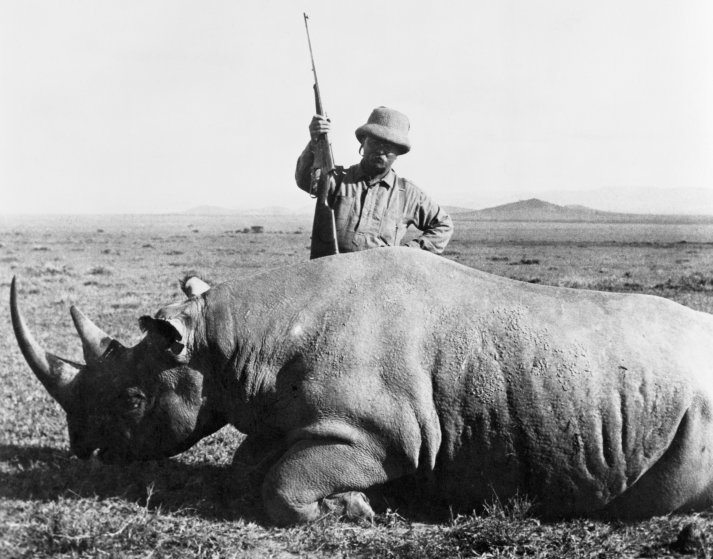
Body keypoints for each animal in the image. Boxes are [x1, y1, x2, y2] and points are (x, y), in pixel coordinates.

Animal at [10, 247, 713, 525]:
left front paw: (351, 510)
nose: (84, 449)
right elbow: (248, 468)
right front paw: (352, 504)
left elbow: (280, 485)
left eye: (131, 399)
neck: (224, 342)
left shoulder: (380, 436)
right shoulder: (292, 417)